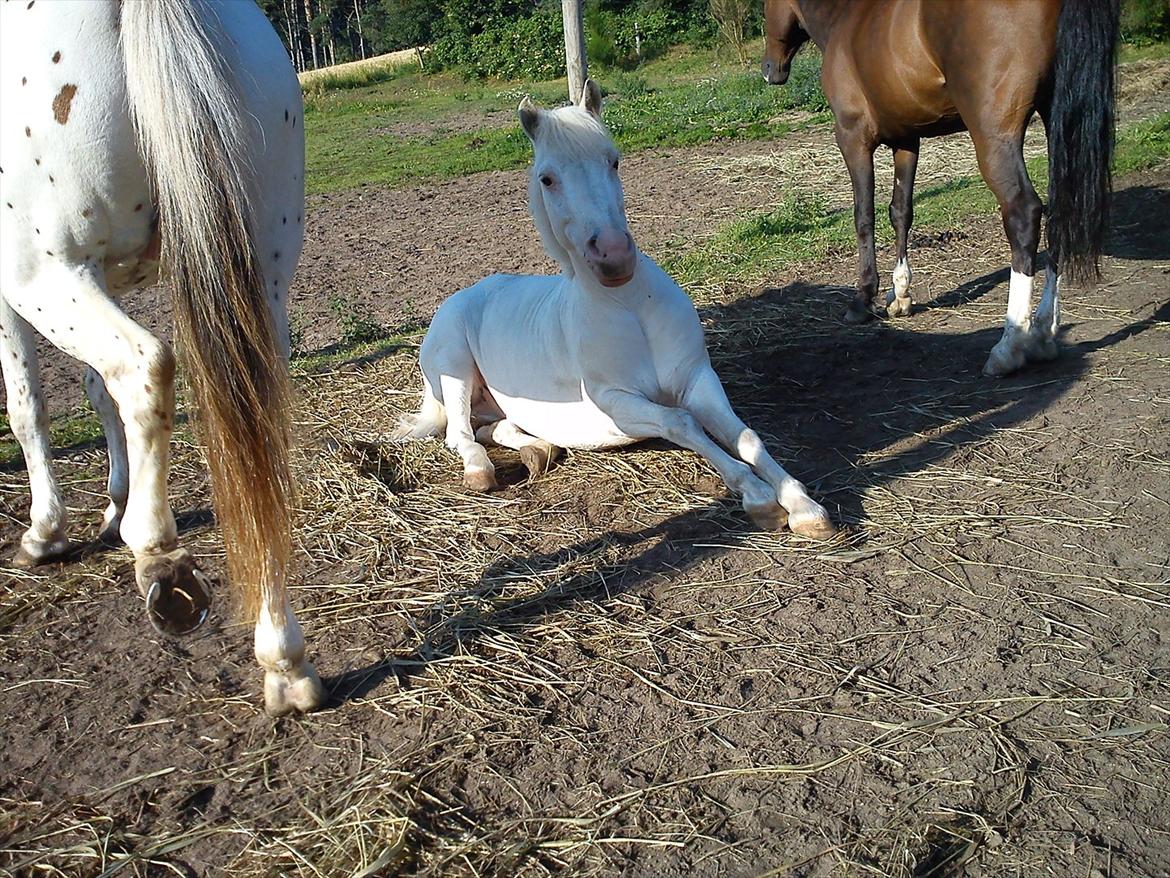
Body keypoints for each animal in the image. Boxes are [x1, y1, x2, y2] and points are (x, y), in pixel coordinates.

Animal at [0, 0, 322, 715]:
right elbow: (95, 395)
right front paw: (112, 500)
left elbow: (29, 407)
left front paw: (47, 531)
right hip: (258, 273)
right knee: (253, 435)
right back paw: (283, 659)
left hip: (45, 276)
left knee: (143, 366)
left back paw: (155, 553)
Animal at [395, 81, 836, 541]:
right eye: (547, 178)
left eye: (614, 160)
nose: (614, 257)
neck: (629, 308)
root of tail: (464, 294)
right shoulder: (618, 404)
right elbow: (682, 423)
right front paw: (760, 498)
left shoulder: (699, 380)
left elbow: (747, 437)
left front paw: (803, 506)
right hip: (455, 371)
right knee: (460, 433)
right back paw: (480, 470)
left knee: (494, 426)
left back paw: (540, 450)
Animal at [762, 0, 1119, 377]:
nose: (769, 69)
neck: (844, 19)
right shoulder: (906, 139)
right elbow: (900, 212)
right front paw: (900, 295)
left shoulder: (852, 138)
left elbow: (864, 217)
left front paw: (863, 299)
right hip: (1058, 121)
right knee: (1060, 210)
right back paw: (1045, 331)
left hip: (994, 135)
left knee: (1024, 214)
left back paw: (1011, 344)